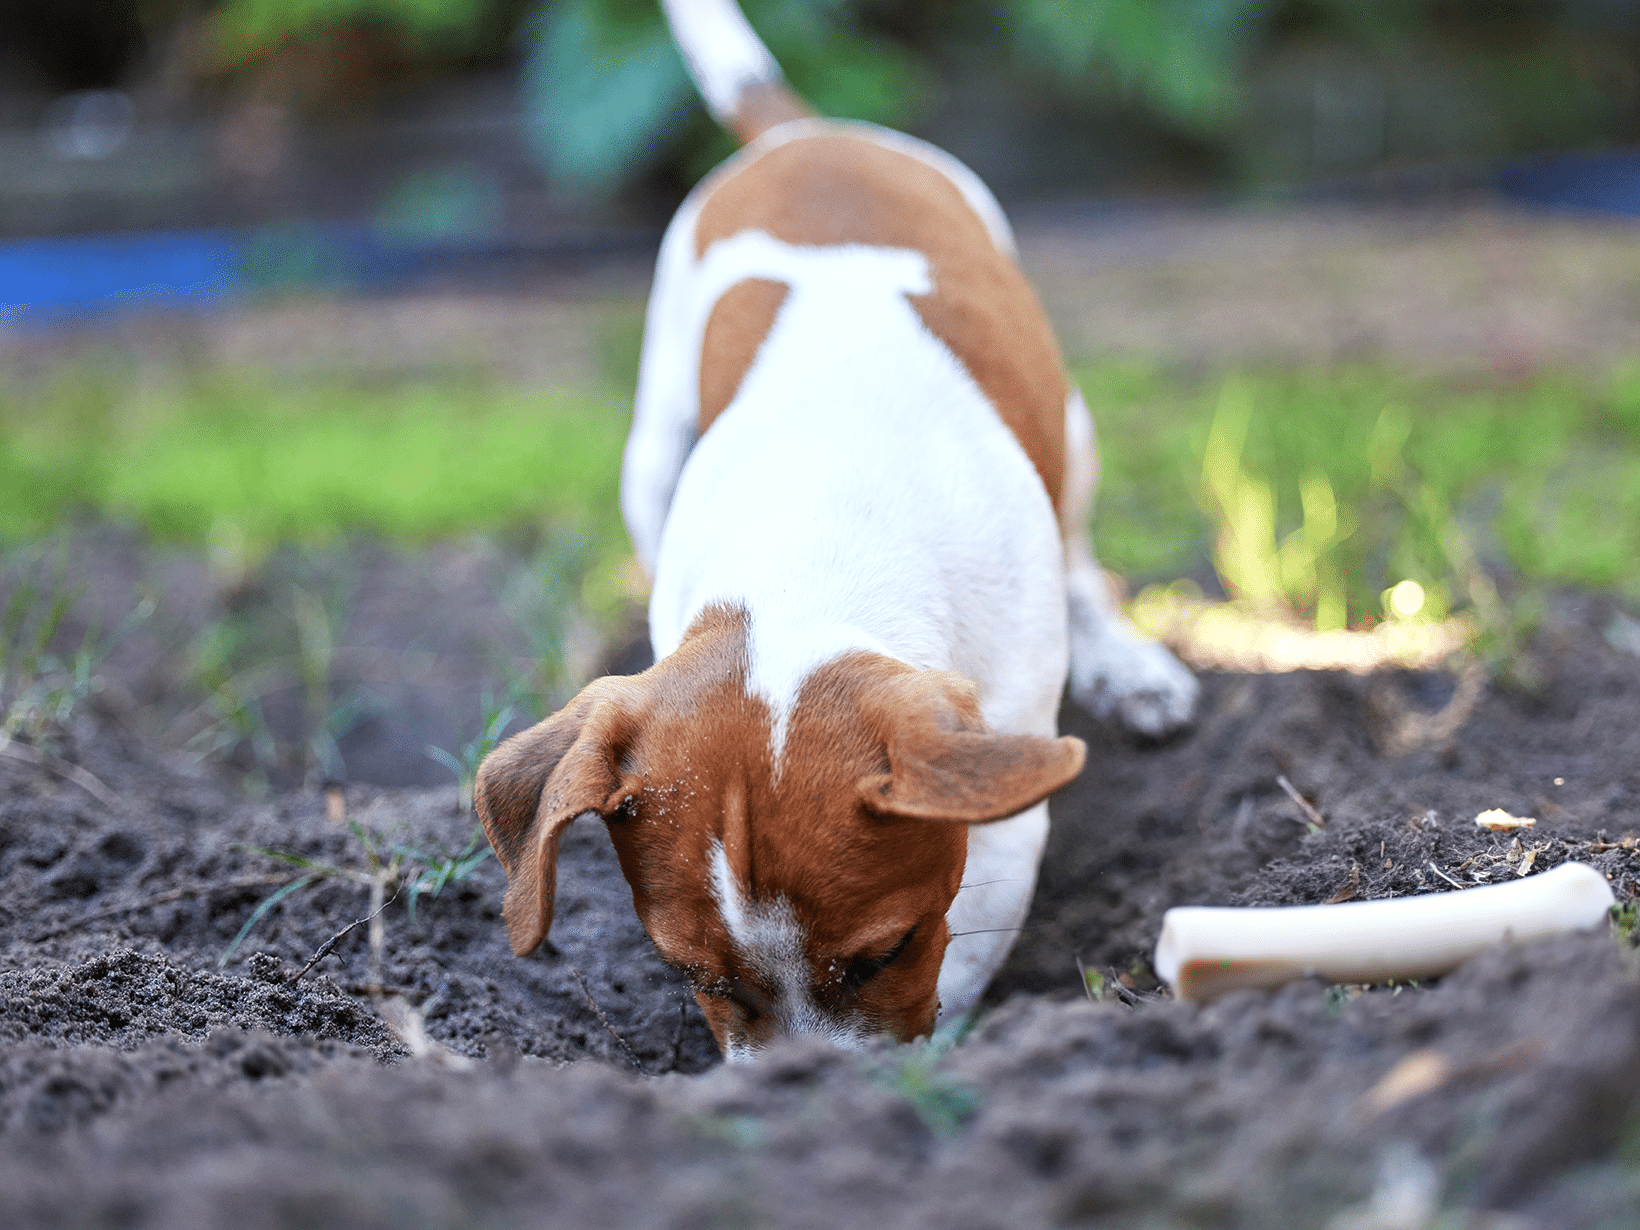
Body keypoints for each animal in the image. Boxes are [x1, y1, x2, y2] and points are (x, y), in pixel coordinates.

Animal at [475, 0, 1193, 1062]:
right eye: (696, 977)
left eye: (887, 952)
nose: (798, 1086)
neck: (810, 547)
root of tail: (807, 133)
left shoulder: (1003, 812)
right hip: (652, 447)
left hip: (1073, 429)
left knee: (1080, 555)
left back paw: (1128, 662)